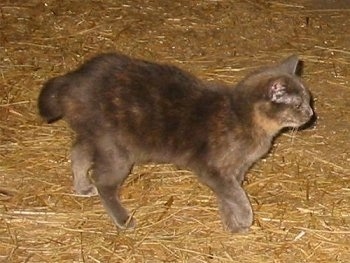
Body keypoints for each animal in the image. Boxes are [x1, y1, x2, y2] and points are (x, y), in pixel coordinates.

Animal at [37, 53, 312, 233]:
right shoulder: (212, 169)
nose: (311, 113)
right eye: (298, 105)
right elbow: (236, 195)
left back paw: (82, 186)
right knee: (103, 181)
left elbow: (228, 195)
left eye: (309, 100)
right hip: (115, 149)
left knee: (78, 152)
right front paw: (244, 218)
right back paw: (123, 219)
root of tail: (74, 79)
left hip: (94, 135)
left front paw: (231, 222)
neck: (241, 116)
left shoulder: (234, 171)